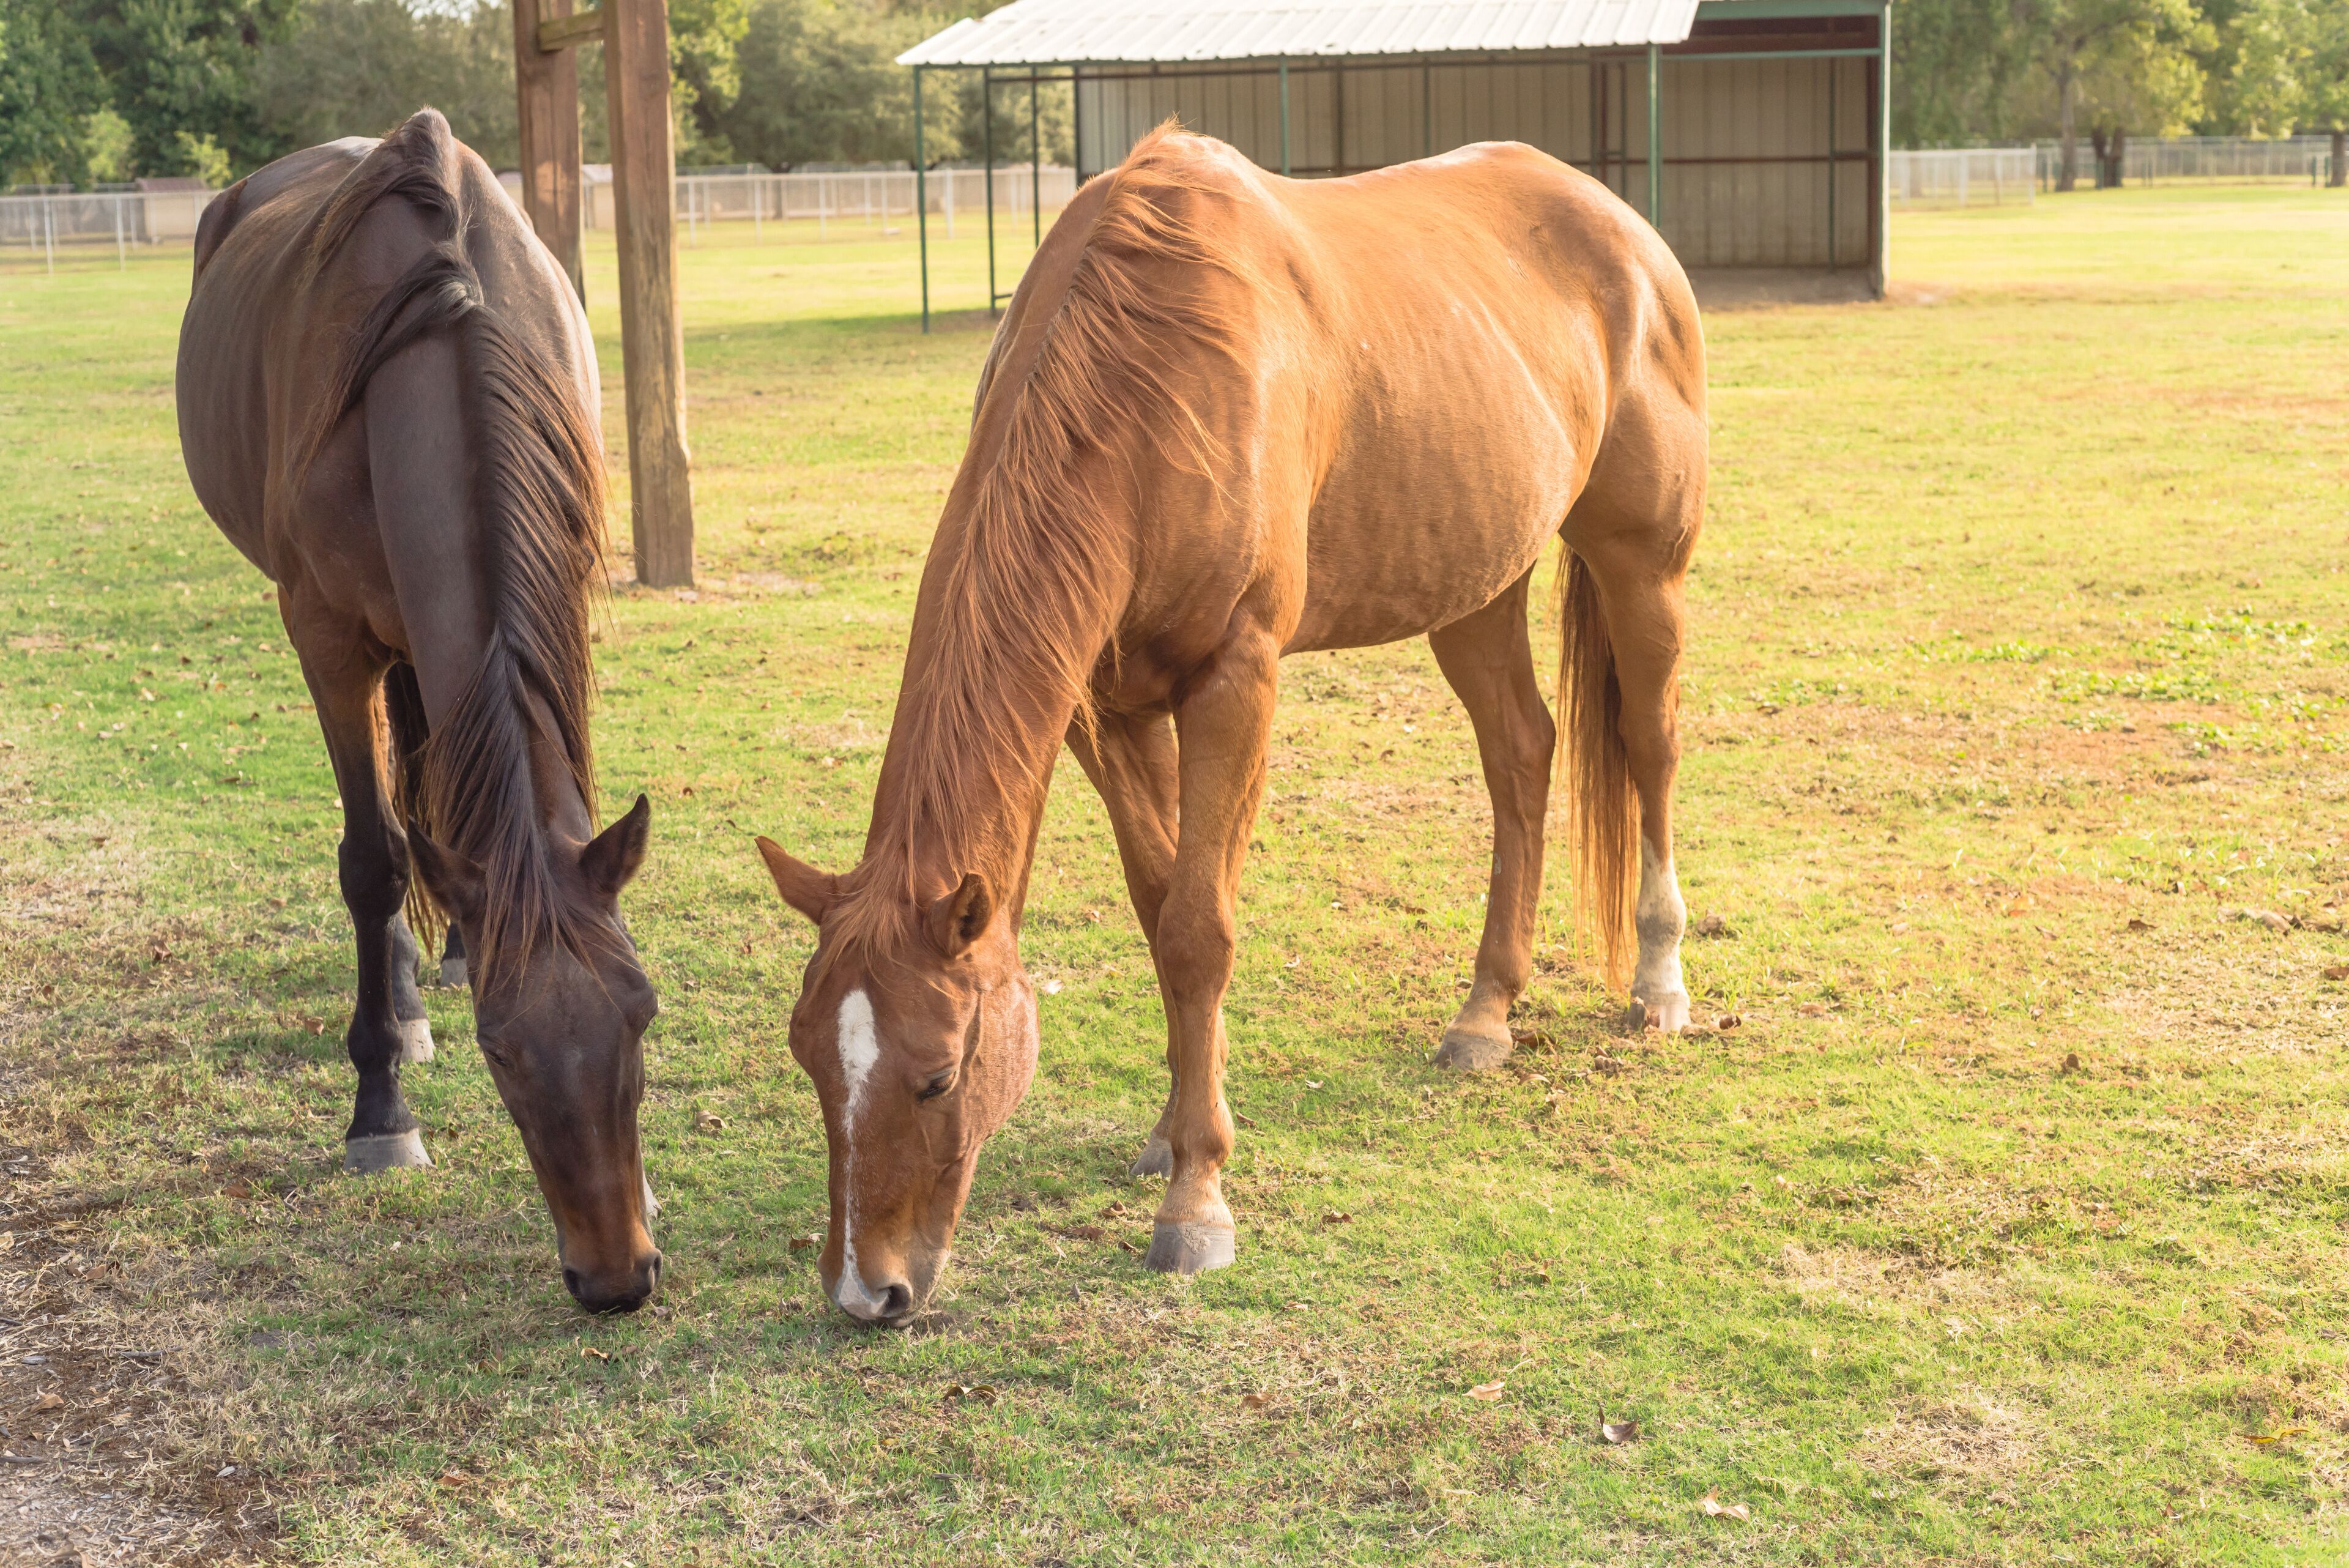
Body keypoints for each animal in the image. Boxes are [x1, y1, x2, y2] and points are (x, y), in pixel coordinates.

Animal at [176, 110, 663, 1313]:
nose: (617, 1275)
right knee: (393, 829)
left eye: (643, 1012)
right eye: (502, 1050)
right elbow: (373, 857)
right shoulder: (327, 639)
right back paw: (401, 993)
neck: (448, 336)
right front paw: (380, 1104)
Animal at [755, 126, 1706, 1323]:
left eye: (937, 1072)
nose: (864, 1288)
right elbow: (1161, 907)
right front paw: (1172, 1135)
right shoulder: (1108, 709)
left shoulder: (1234, 682)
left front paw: (1197, 1202)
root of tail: (1619, 225)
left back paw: (1658, 982)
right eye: (808, 1058)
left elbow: (1200, 929)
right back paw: (1486, 1011)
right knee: (1521, 755)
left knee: (1653, 748)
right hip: (1475, 587)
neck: (1148, 375)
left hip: (1642, 567)